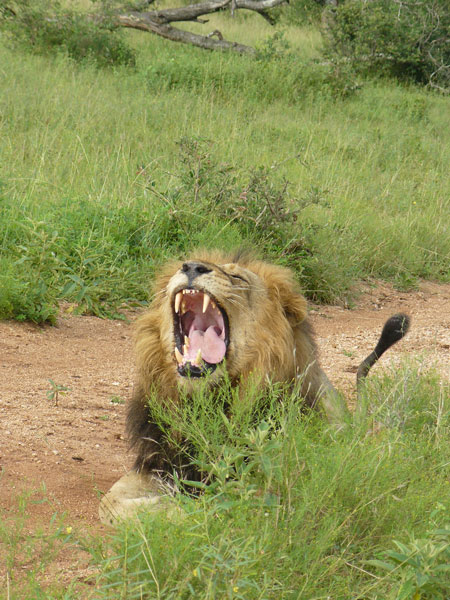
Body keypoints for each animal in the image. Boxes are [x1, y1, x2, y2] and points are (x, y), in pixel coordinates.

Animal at [100, 250, 410, 524]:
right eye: (182, 263)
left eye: (238, 277)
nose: (191, 267)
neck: (206, 402)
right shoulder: (159, 464)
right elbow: (111, 501)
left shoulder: (267, 483)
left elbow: (212, 505)